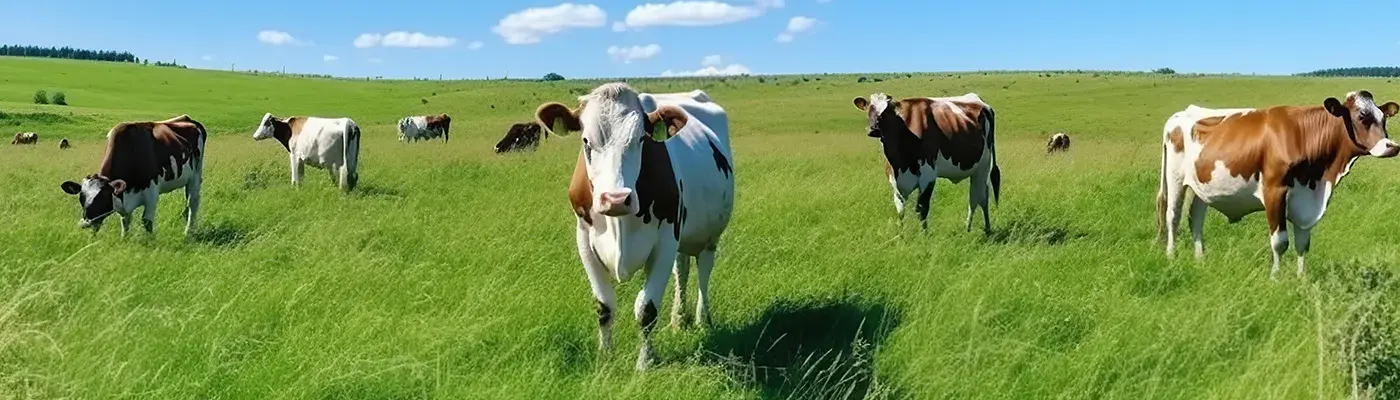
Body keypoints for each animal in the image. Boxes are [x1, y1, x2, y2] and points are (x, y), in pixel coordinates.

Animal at [59, 115, 206, 237]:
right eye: (81, 198)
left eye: (103, 198)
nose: (85, 223)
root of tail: (188, 119)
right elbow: (125, 221)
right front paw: (124, 239)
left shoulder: (152, 192)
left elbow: (146, 221)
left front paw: (150, 241)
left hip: (196, 175)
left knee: (193, 202)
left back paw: (188, 231)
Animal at [535, 83, 735, 371]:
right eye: (586, 141)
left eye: (642, 139)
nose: (616, 198)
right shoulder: (584, 240)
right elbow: (604, 306)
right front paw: (605, 359)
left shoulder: (665, 240)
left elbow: (646, 309)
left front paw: (644, 363)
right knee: (682, 269)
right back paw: (678, 320)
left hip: (710, 236)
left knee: (704, 272)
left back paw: (702, 319)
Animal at [852, 93, 1002, 233]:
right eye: (869, 108)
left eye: (887, 110)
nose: (873, 129)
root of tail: (979, 101)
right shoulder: (893, 178)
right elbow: (900, 209)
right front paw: (901, 235)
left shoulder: (928, 175)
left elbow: (922, 208)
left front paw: (924, 235)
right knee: (983, 195)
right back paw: (983, 228)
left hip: (983, 167)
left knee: (977, 198)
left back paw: (970, 228)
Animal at [1158, 91, 1400, 279]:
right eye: (1361, 116)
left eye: (1383, 118)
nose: (1392, 146)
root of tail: (1181, 114)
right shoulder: (1274, 191)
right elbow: (1280, 241)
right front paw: (1275, 278)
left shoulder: (1306, 197)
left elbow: (1303, 242)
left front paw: (1301, 278)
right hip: (1175, 177)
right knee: (1173, 215)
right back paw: (1171, 256)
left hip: (1202, 186)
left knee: (1195, 219)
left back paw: (1200, 259)